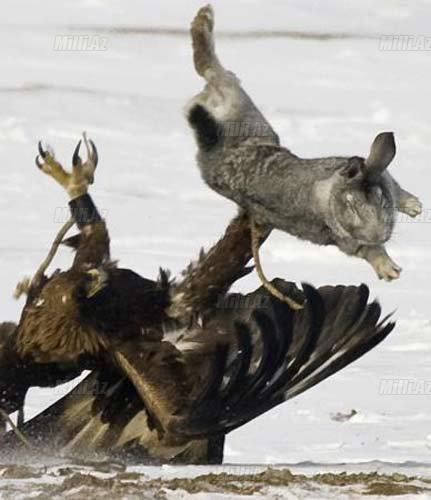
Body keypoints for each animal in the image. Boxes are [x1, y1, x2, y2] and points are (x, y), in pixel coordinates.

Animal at [186, 4, 422, 282]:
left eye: (382, 202)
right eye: (352, 207)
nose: (377, 234)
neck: (332, 193)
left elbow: (398, 191)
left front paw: (415, 207)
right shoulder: (349, 241)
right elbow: (372, 252)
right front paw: (390, 271)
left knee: (214, 72)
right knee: (211, 70)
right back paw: (204, 19)